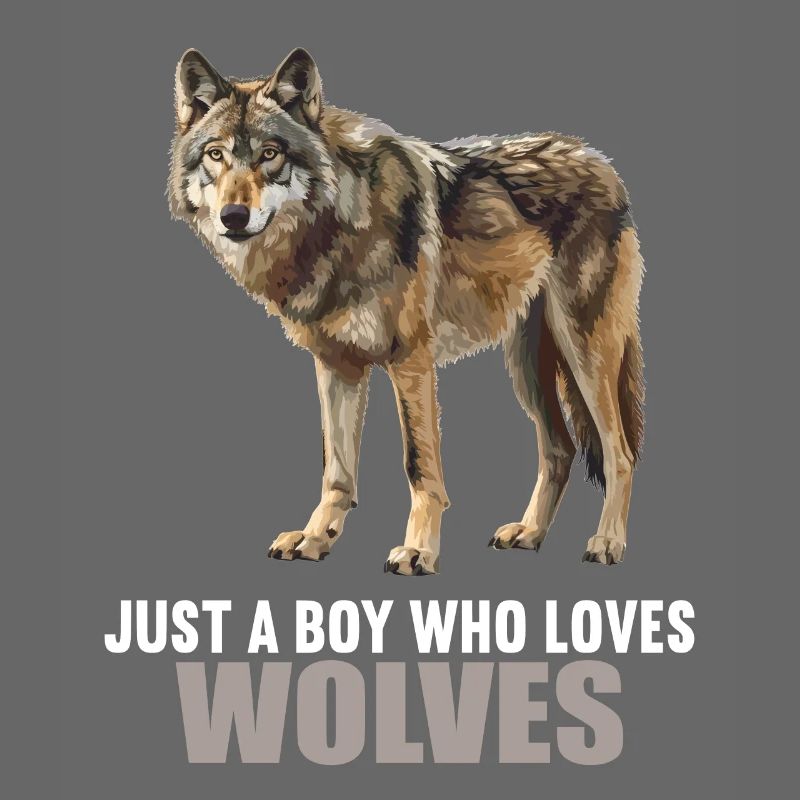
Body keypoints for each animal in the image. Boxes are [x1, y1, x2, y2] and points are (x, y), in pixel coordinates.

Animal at [168, 48, 645, 575]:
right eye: (216, 155)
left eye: (270, 154)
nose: (233, 217)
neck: (340, 225)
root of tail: (601, 162)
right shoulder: (336, 365)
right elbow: (336, 470)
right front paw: (316, 538)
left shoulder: (410, 360)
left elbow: (419, 465)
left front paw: (419, 550)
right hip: (526, 367)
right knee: (560, 449)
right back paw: (530, 533)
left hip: (584, 352)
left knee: (620, 453)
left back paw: (608, 542)